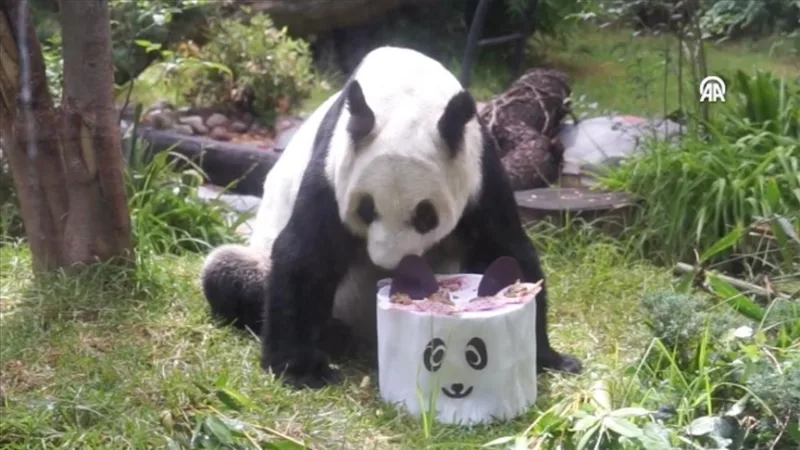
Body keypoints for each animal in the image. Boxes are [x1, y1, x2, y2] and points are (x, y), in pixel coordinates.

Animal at [200, 46, 582, 388]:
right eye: (366, 209)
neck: (407, 91)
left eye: (426, 216)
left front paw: (549, 357)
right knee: (227, 272)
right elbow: (306, 257)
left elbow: (503, 250)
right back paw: (336, 335)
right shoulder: (333, 167)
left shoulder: (479, 168)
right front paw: (303, 370)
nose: (390, 264)